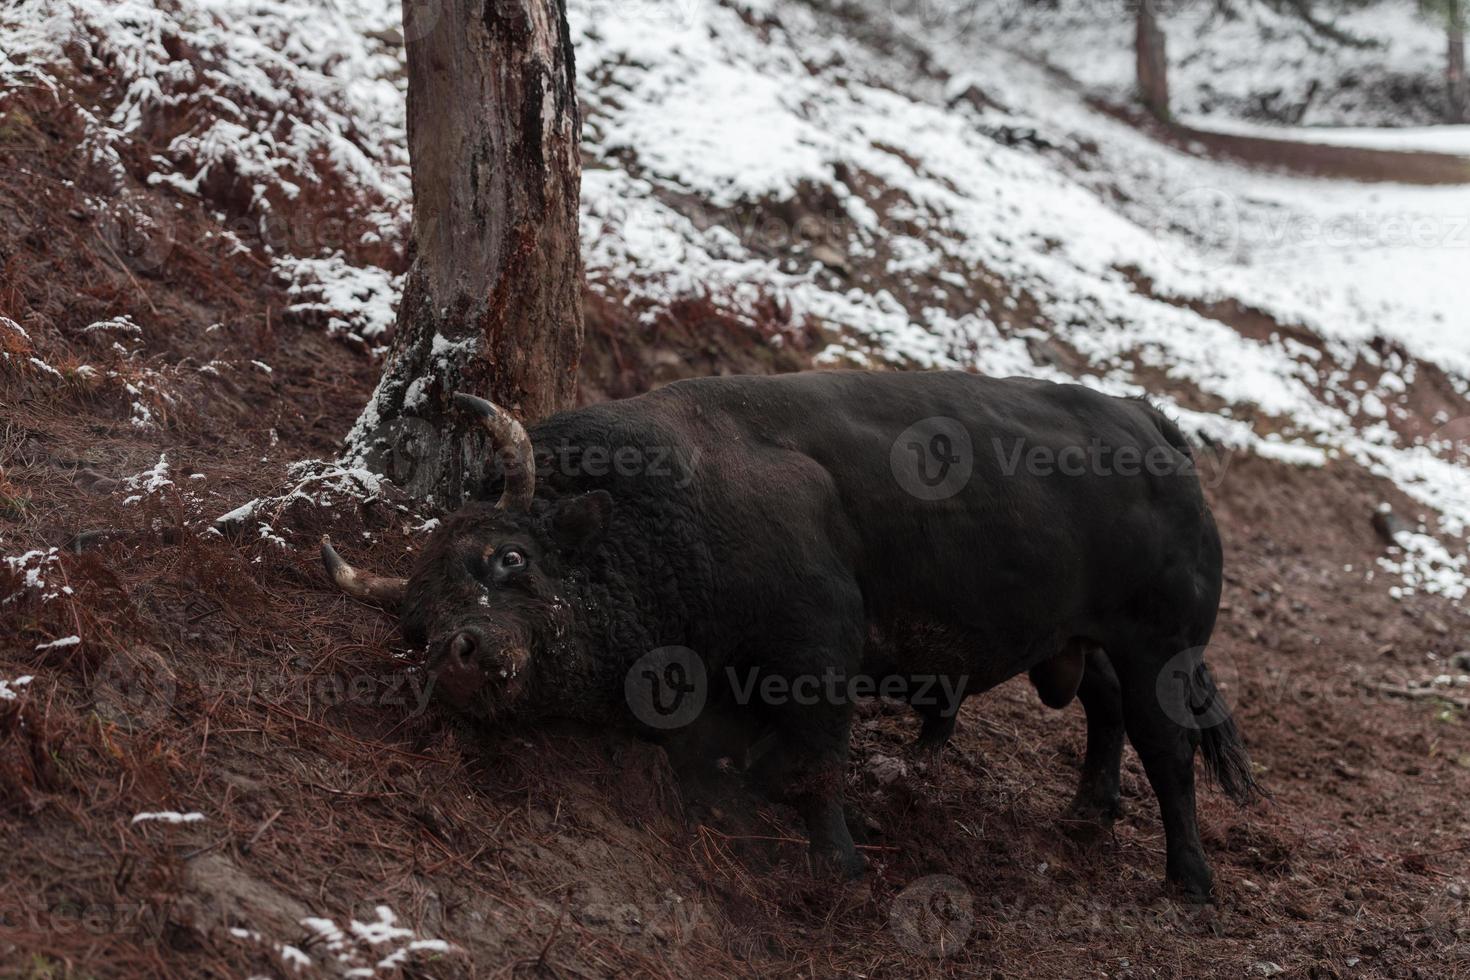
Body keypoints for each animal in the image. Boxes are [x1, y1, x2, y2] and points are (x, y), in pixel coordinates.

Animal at [324, 371, 1264, 899]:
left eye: (508, 556)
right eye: (415, 620)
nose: (459, 653)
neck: (661, 511)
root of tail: (1151, 425)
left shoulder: (817, 657)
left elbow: (808, 764)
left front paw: (840, 864)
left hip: (1160, 650)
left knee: (1169, 752)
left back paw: (1191, 881)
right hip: (1078, 643)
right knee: (1105, 711)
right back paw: (1086, 812)